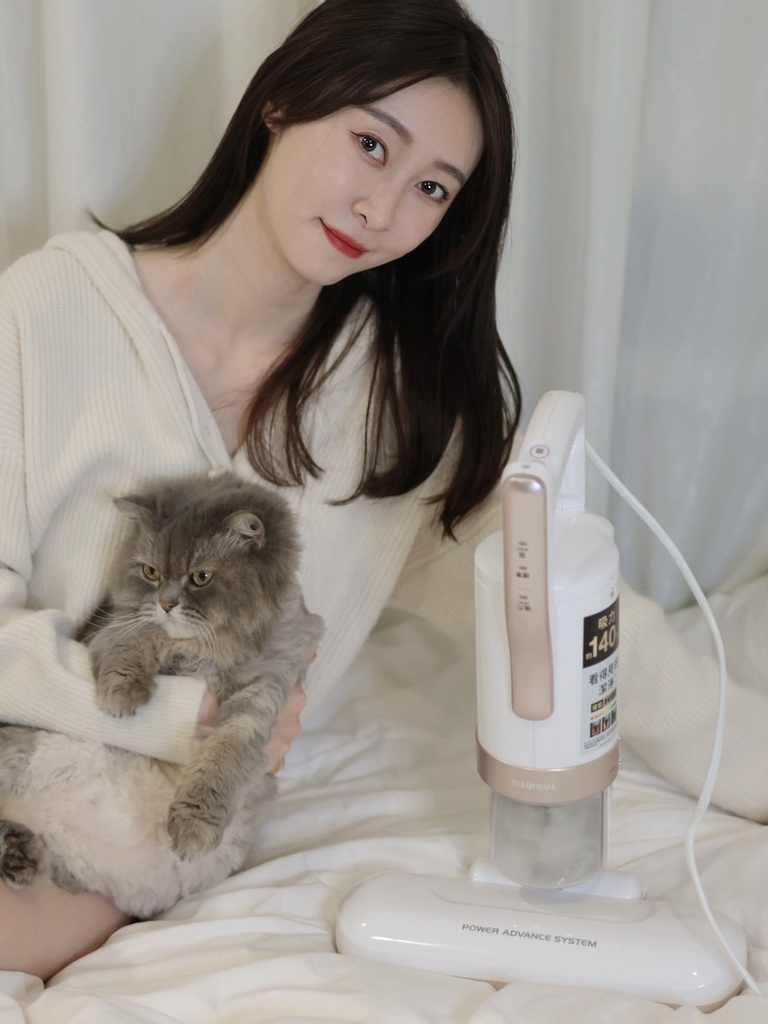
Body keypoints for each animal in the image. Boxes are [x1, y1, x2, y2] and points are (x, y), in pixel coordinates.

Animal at [0, 471, 324, 917]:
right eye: (151, 571)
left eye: (200, 577)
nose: (168, 602)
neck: (206, 650)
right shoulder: (112, 627)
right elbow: (141, 636)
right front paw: (122, 695)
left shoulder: (262, 694)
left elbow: (221, 763)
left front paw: (192, 828)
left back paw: (19, 852)